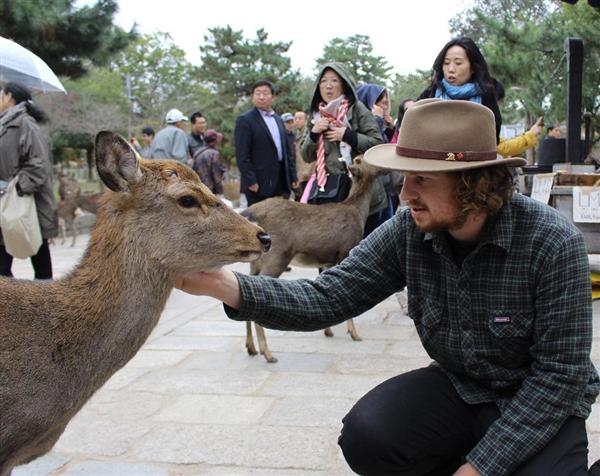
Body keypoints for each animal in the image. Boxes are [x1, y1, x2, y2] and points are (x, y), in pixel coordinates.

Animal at [240, 158, 384, 362]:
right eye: (365, 159)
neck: (358, 213)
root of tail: (250, 213)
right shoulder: (346, 251)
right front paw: (354, 334)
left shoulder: (326, 261)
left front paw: (328, 331)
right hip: (277, 255)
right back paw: (268, 353)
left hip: (256, 262)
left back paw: (251, 348)